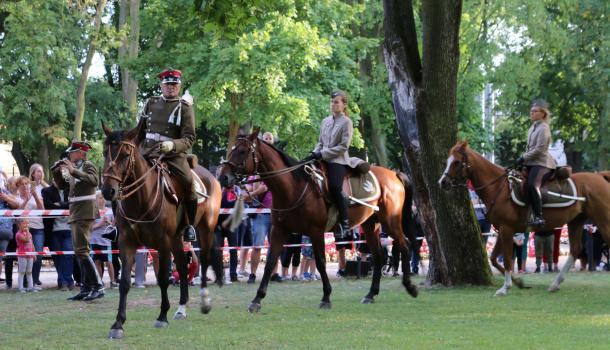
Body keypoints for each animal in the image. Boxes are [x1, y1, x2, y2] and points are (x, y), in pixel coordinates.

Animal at [100, 120, 221, 340]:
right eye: (105, 152)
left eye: (125, 155)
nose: (107, 191)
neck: (141, 199)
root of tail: (210, 175)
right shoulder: (126, 242)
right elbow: (124, 282)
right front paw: (118, 324)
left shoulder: (162, 243)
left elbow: (163, 279)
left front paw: (162, 316)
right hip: (177, 238)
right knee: (183, 266)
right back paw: (181, 308)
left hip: (205, 229)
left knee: (204, 259)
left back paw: (204, 301)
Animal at [220, 129, 418, 312]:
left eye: (242, 151)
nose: (223, 177)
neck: (293, 187)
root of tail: (394, 174)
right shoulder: (279, 230)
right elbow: (270, 263)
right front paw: (257, 300)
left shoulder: (315, 231)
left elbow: (321, 262)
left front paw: (326, 297)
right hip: (370, 225)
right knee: (378, 256)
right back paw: (371, 294)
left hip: (390, 222)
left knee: (405, 245)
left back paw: (410, 286)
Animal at [436, 139, 608, 296]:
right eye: (448, 161)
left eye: (457, 162)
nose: (442, 182)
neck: (498, 188)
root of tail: (600, 176)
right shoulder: (502, 229)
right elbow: (494, 258)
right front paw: (518, 282)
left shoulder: (506, 229)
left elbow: (506, 258)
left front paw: (505, 288)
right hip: (576, 221)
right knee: (575, 249)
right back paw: (555, 284)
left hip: (602, 220)